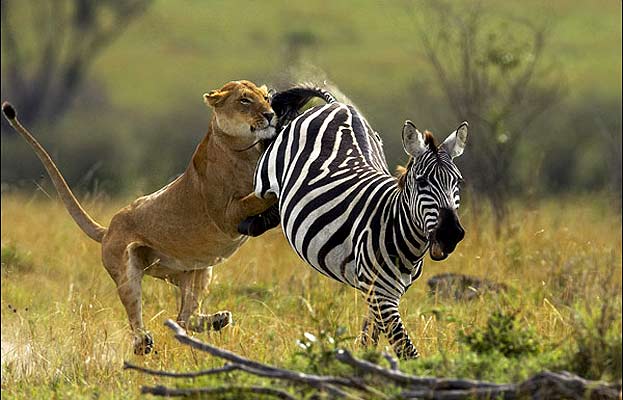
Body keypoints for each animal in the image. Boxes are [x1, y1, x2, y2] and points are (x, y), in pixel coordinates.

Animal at [243, 88, 468, 360]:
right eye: (422, 182)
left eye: (457, 182)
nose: (450, 234)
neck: (397, 228)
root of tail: (336, 105)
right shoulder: (380, 294)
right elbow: (406, 350)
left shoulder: (382, 293)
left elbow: (369, 337)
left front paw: (362, 361)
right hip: (264, 177)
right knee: (257, 192)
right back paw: (246, 222)